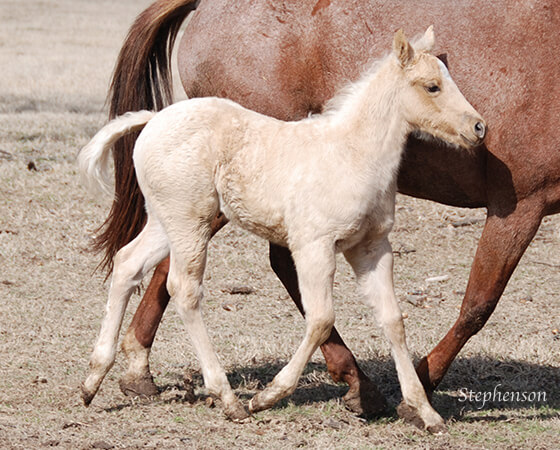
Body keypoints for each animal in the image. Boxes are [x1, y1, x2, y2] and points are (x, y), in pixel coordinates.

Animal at [95, 0, 560, 414]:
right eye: (432, 85)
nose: (479, 127)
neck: (350, 150)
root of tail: (155, 120)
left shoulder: (370, 246)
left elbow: (392, 318)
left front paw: (421, 406)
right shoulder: (517, 205)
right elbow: (474, 303)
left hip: (179, 218)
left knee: (132, 262)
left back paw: (104, 376)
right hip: (199, 219)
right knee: (190, 285)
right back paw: (236, 394)